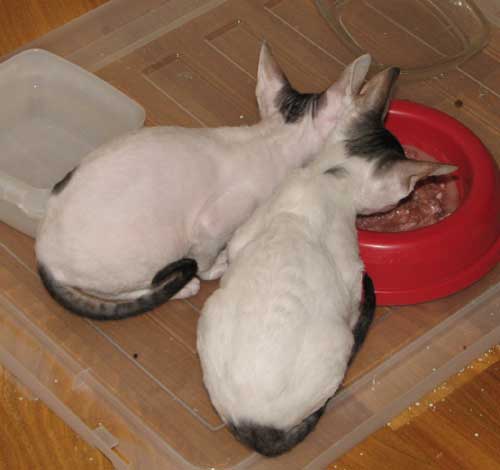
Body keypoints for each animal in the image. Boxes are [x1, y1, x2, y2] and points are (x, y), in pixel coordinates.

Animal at [35, 43, 373, 320]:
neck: (272, 139)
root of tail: (43, 254)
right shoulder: (212, 225)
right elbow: (205, 256)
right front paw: (215, 267)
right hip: (145, 252)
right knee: (125, 289)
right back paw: (183, 287)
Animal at [197, 66, 457, 457]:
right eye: (403, 195)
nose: (405, 200)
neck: (331, 177)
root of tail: (251, 423)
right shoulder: (352, 273)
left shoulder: (243, 235)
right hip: (339, 343)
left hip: (210, 313)